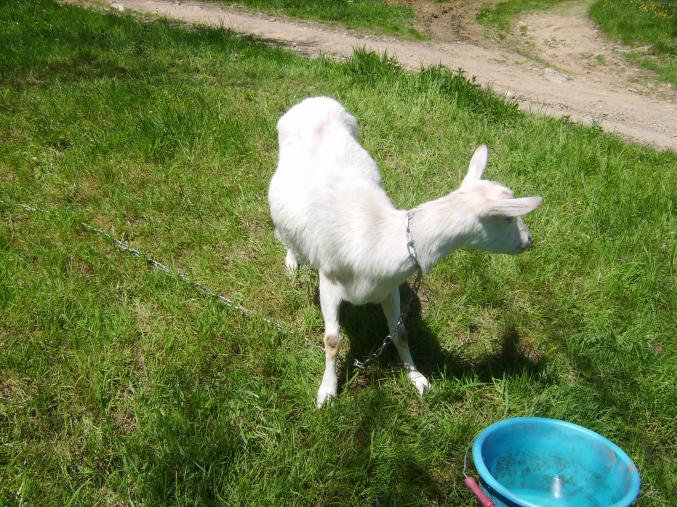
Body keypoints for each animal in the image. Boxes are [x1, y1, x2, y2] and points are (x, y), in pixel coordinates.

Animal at [268, 97, 542, 407]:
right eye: (507, 218)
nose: (529, 240)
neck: (381, 235)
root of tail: (316, 100)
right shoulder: (328, 282)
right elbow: (332, 341)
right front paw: (327, 391)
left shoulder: (390, 288)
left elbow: (400, 332)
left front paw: (417, 378)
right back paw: (292, 261)